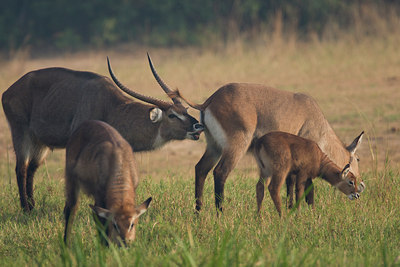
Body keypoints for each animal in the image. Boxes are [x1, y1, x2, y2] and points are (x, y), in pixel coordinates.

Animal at [1, 59, 203, 213]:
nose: (198, 126)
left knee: (31, 169)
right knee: (21, 169)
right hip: (21, 134)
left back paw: (33, 207)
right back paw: (25, 209)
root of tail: (8, 91)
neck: (111, 107)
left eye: (185, 110)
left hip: (40, 144)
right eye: (172, 115)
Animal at [147, 54, 366, 214]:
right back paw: (220, 214)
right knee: (220, 172)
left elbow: (290, 184)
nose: (361, 186)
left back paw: (199, 213)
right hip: (236, 146)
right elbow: (305, 187)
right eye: (358, 159)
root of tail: (209, 101)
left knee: (201, 169)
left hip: (214, 146)